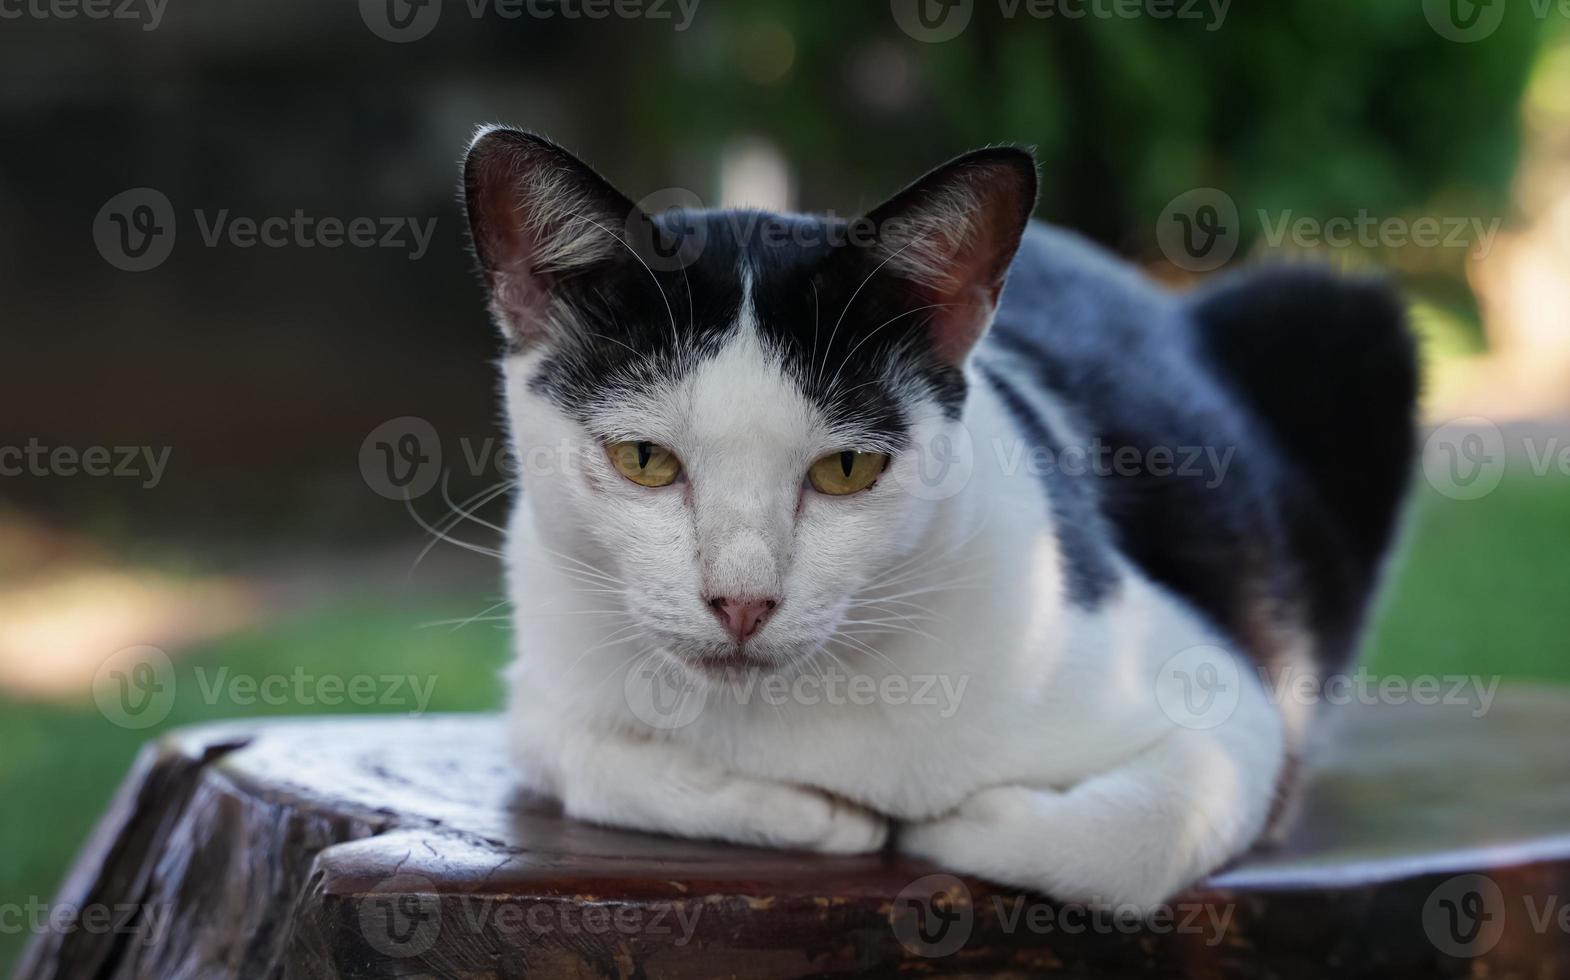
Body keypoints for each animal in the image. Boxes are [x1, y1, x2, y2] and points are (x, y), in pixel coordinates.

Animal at [458, 126, 1419, 904]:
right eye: (645, 460)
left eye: (847, 469)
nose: (742, 603)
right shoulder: (539, 684)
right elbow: (582, 755)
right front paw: (815, 813)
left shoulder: (1234, 713)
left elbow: (1124, 842)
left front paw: (948, 822)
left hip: (1338, 316)